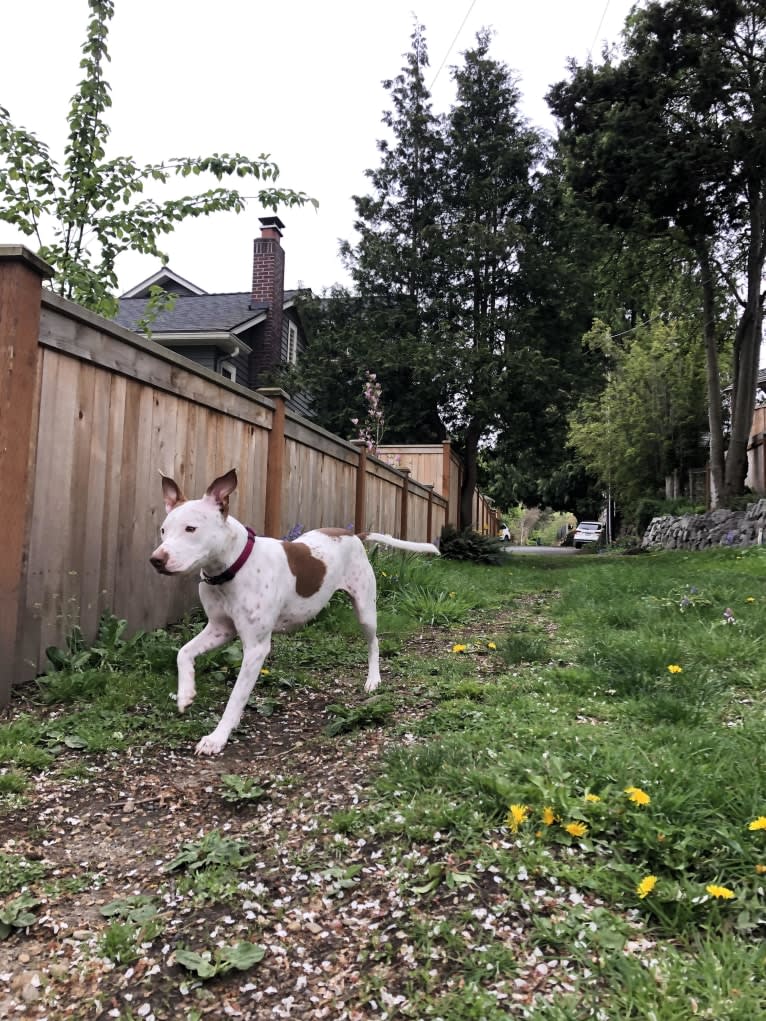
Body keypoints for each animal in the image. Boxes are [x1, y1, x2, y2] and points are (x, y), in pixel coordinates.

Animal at [150, 467, 441, 751]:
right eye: (163, 530)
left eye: (191, 528)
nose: (156, 560)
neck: (232, 568)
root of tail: (352, 535)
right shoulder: (219, 629)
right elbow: (183, 653)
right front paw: (185, 694)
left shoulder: (255, 648)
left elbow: (235, 698)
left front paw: (217, 737)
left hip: (365, 611)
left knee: (374, 643)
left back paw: (373, 680)